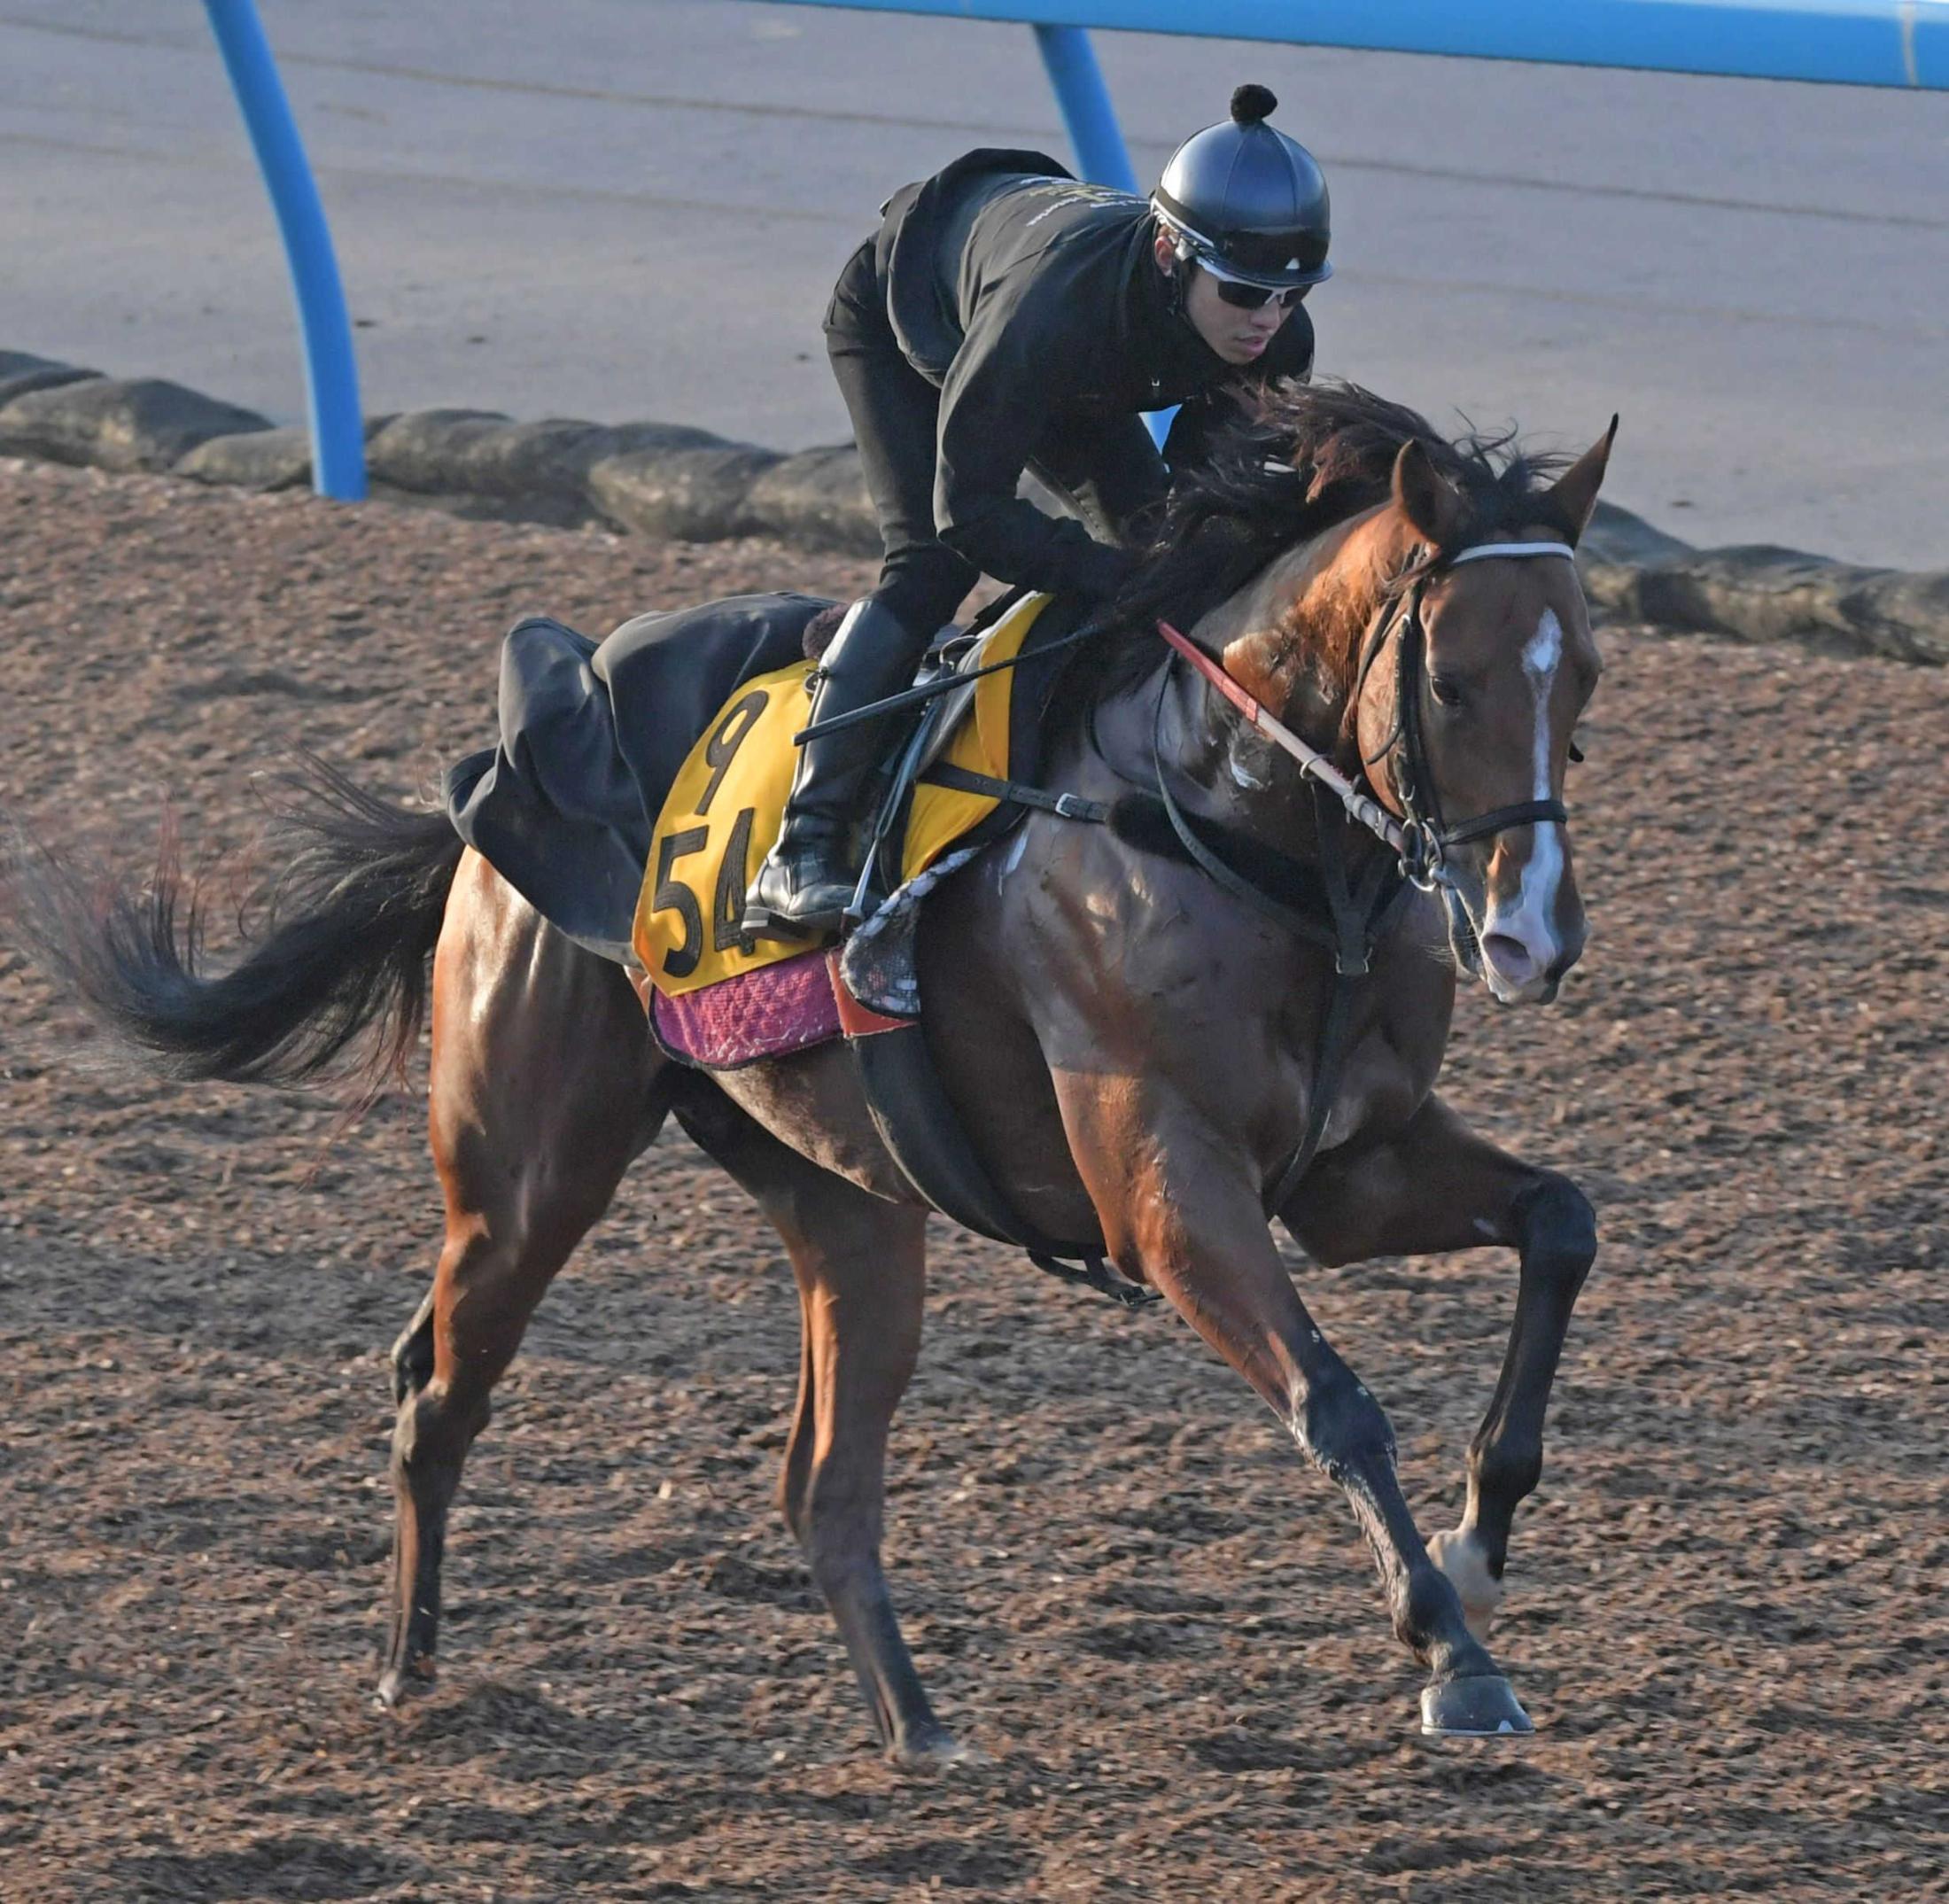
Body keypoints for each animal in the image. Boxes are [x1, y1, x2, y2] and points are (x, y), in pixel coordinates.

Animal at [0, 382, 1613, 1753]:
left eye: (1585, 676)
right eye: (1453, 682)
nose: (1529, 933)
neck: (1226, 817)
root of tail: (484, 799)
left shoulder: (1347, 1165)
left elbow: (1561, 1220)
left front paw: (1479, 1538)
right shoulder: (1168, 1187)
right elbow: (1335, 1398)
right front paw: (1455, 1654)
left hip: (850, 1199)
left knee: (822, 1487)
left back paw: (921, 1726)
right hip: (527, 1172)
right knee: (437, 1388)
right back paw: (407, 1671)